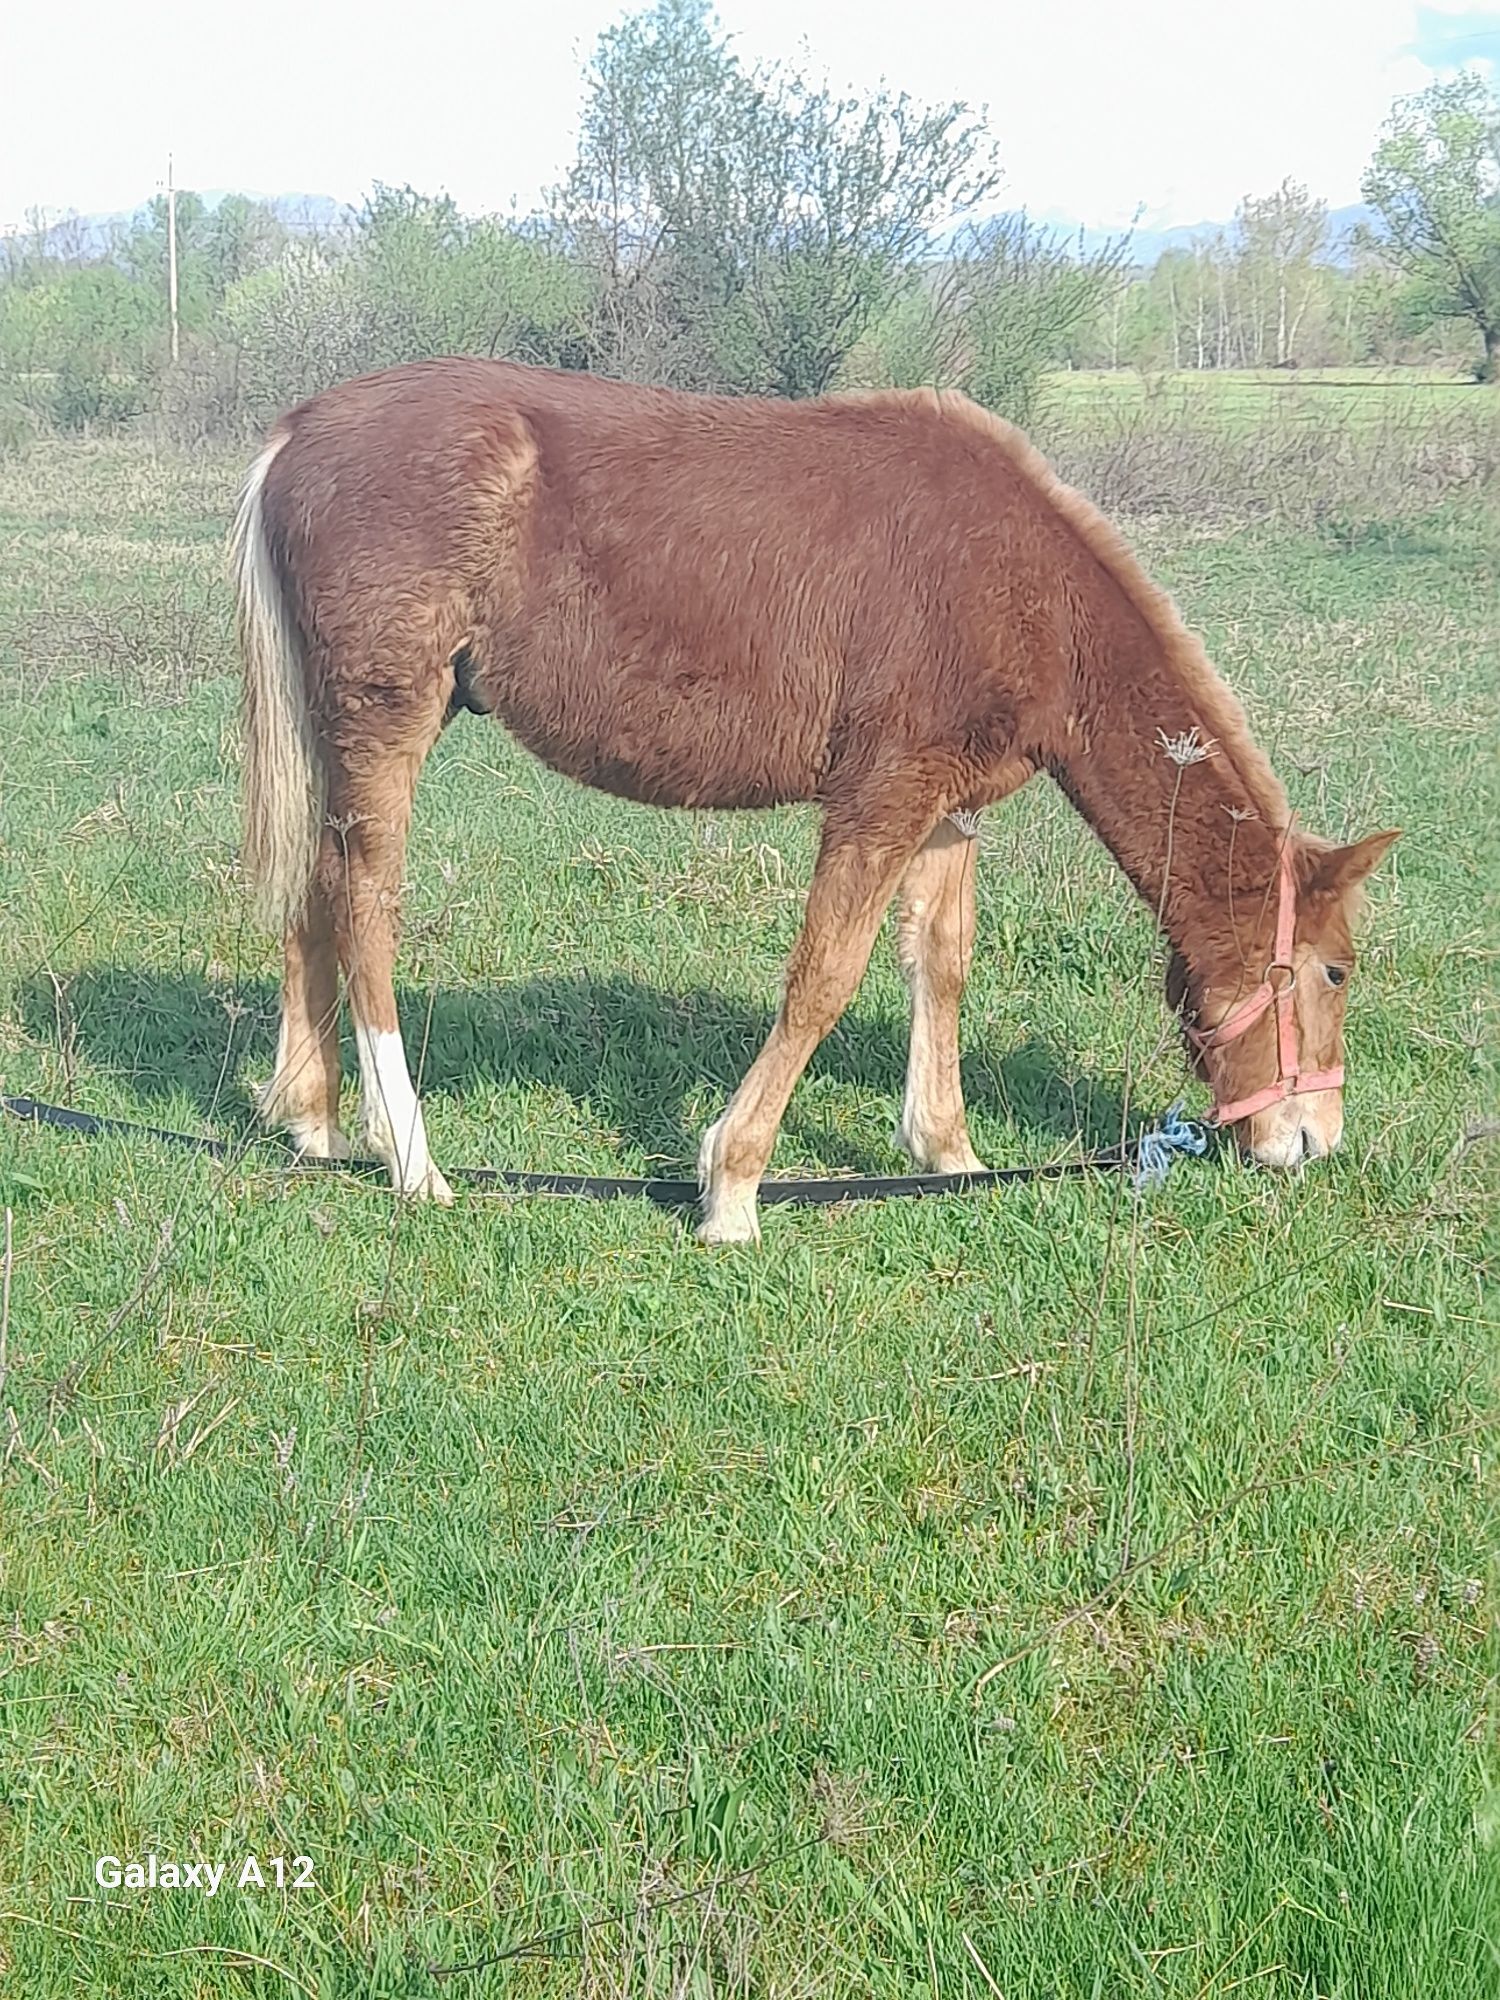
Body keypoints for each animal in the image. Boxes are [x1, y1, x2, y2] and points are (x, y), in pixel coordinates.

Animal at [232, 358, 1400, 1232]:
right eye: (1335, 970)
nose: (1313, 1139)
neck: (1023, 587)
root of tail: (299, 433)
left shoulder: (948, 808)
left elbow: (941, 964)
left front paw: (949, 1152)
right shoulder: (879, 798)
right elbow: (823, 979)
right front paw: (734, 1184)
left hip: (342, 731)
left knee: (312, 889)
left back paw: (311, 1116)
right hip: (391, 719)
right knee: (364, 907)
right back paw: (410, 1158)